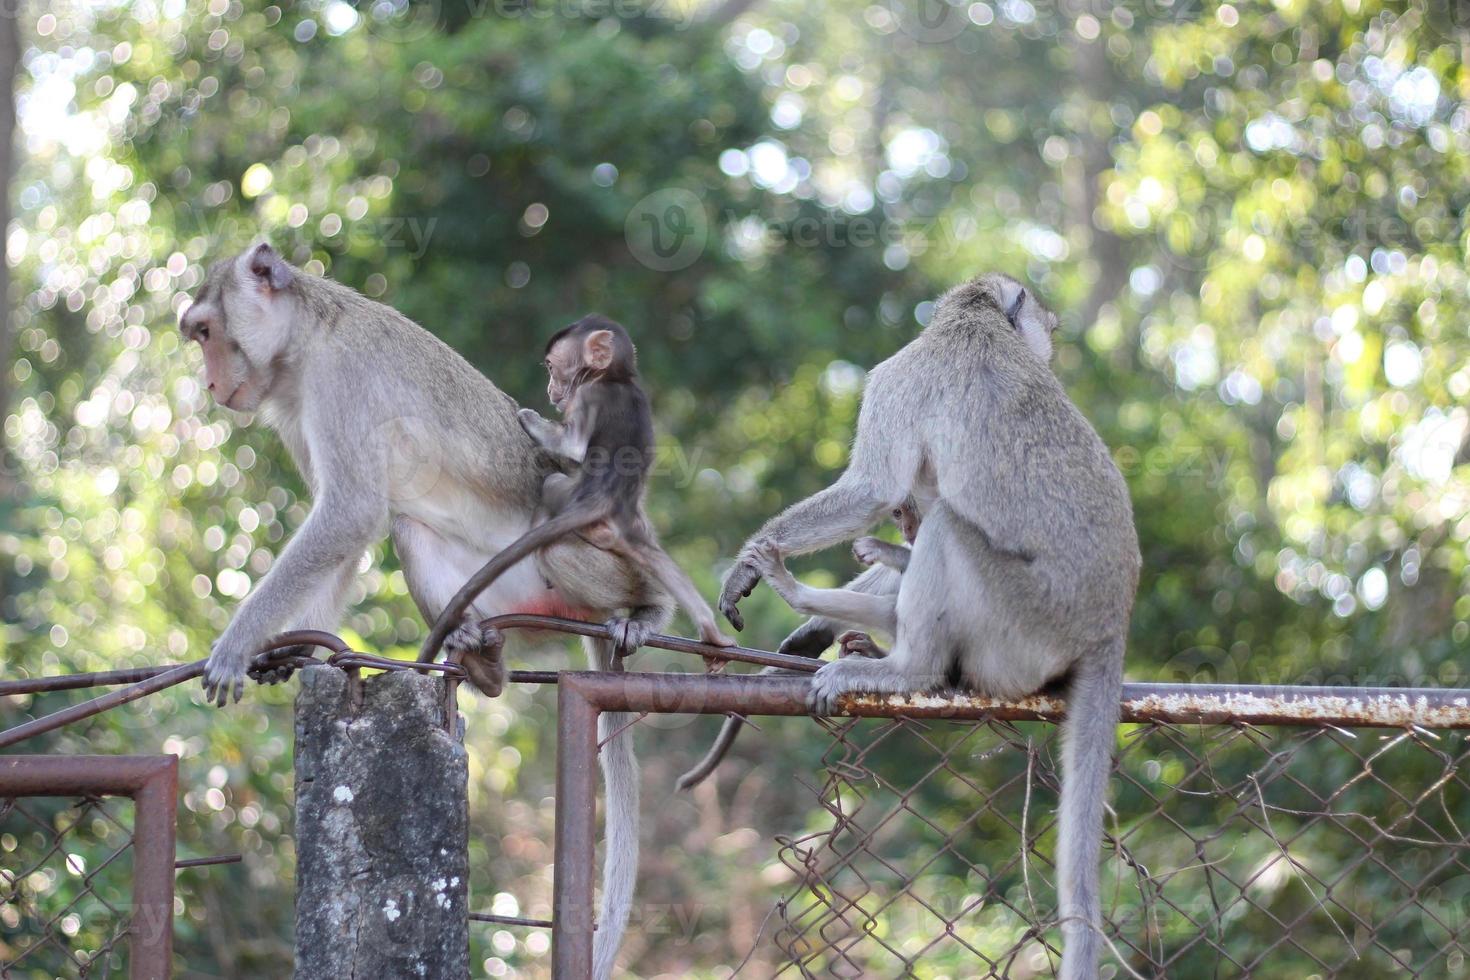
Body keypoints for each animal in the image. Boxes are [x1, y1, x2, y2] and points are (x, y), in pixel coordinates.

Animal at [174, 239, 670, 980]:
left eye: (206, 332)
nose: (210, 386)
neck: (306, 336)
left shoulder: (339, 382)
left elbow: (349, 515)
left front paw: (238, 643)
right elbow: (346, 537)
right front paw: (290, 649)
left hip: (588, 556)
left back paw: (644, 608)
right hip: (504, 591)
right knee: (413, 529)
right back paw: (481, 657)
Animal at [420, 312, 729, 681]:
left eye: (553, 368)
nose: (550, 389)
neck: (618, 378)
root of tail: (605, 500)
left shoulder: (588, 395)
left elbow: (573, 446)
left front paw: (529, 418)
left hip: (568, 497)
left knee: (553, 483)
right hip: (631, 529)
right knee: (660, 563)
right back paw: (711, 632)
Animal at [717, 270, 1140, 980]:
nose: (1051, 346)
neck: (974, 323)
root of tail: (1110, 624)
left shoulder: (899, 377)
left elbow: (871, 488)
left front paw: (752, 559)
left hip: (1022, 626)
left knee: (946, 526)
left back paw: (903, 664)